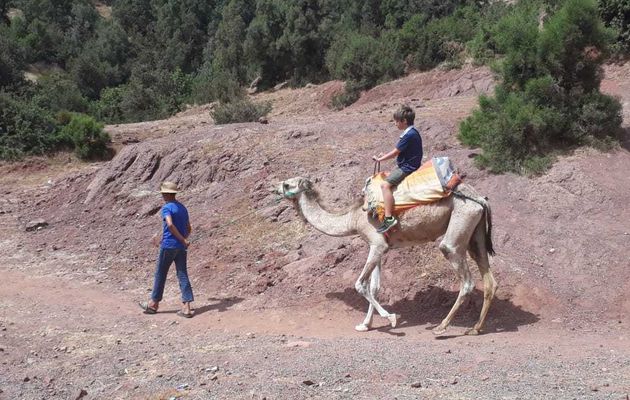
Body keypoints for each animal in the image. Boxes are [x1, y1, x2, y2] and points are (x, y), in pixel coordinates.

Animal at [276, 176, 498, 334]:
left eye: (287, 184)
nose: (274, 189)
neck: (353, 218)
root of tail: (481, 200)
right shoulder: (382, 247)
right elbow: (374, 287)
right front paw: (365, 325)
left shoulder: (376, 244)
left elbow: (360, 284)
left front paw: (390, 318)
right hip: (475, 232)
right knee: (489, 278)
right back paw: (475, 328)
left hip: (459, 226)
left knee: (464, 275)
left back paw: (441, 327)